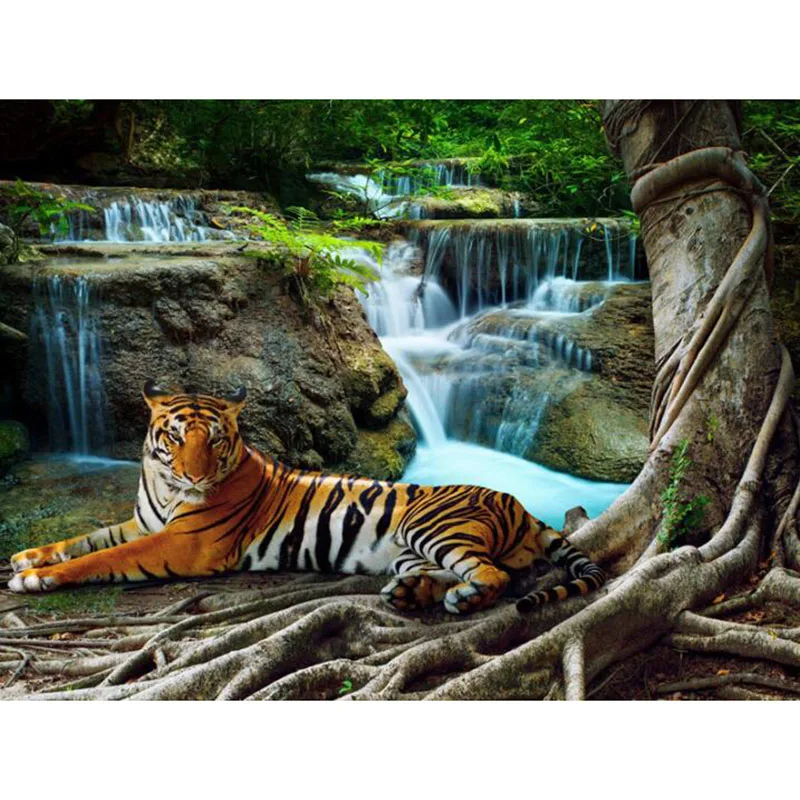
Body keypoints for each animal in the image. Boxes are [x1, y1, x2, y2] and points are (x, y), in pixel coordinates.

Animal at [7, 382, 606, 614]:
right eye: (174, 438)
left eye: (215, 440)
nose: (196, 476)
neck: (162, 484)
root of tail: (520, 505)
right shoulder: (144, 524)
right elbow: (87, 538)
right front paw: (27, 557)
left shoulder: (181, 544)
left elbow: (103, 557)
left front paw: (37, 578)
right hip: (411, 549)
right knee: (451, 572)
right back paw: (409, 594)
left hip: (431, 527)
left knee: (492, 575)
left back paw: (460, 598)